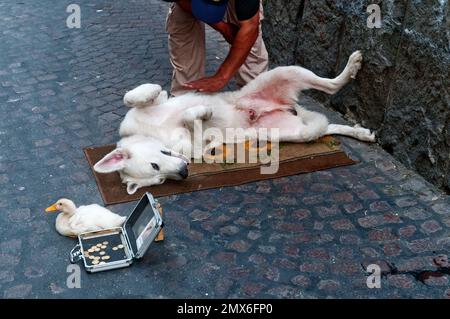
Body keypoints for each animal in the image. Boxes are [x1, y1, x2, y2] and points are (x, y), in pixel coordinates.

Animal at [93, 52, 374, 195]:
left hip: (284, 72)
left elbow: (135, 96)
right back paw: (361, 132)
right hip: (292, 132)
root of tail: (281, 108)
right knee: (326, 127)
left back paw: (352, 66)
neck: (153, 133)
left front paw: (196, 105)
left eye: (155, 165)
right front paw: (202, 115)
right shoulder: (194, 149)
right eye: (160, 179)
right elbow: (196, 131)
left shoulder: (149, 107)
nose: (184, 173)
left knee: (330, 85)